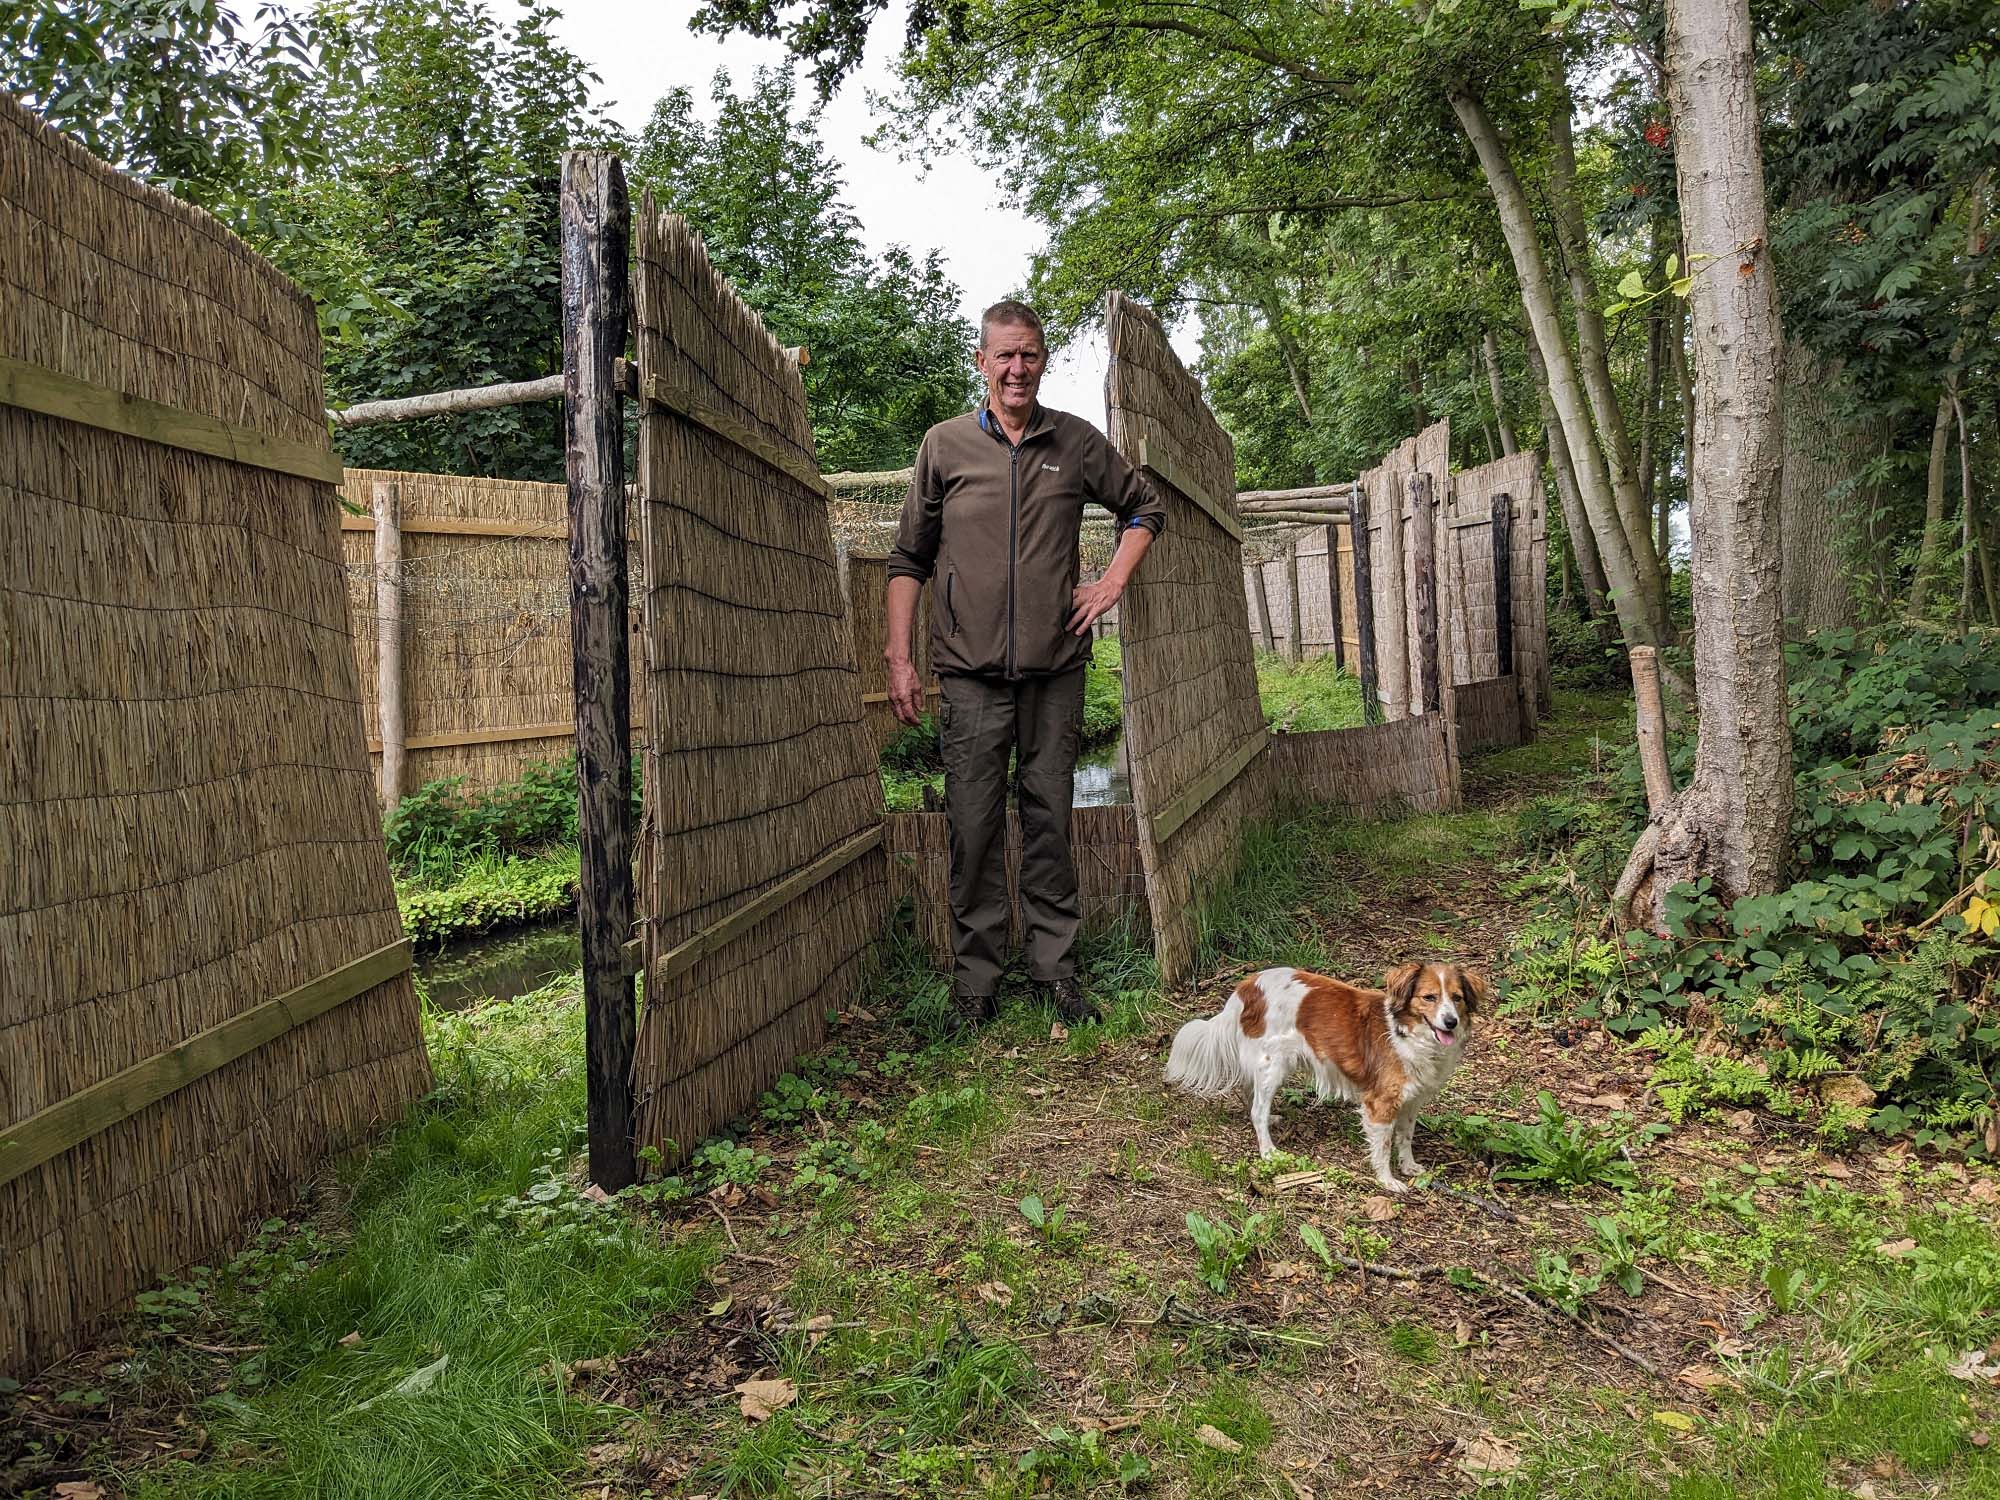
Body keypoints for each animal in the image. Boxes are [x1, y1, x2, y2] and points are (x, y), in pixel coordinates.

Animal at [1160, 964, 1488, 1200]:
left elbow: (1405, 1137)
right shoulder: (1381, 1103)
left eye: (1456, 998)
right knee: (1257, 1111)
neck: (1408, 1033)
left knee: (1248, 1092)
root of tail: (1248, 985)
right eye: (1429, 997)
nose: (1450, 1022)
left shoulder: (1411, 1100)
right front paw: (1387, 1180)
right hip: (1273, 1064)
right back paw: (1268, 1151)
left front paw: (1409, 1167)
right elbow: (1383, 1146)